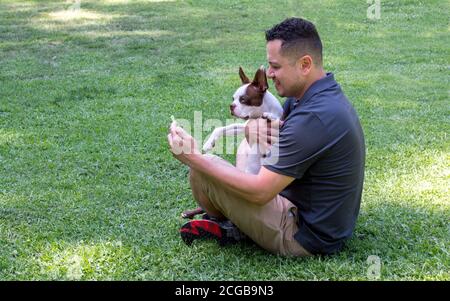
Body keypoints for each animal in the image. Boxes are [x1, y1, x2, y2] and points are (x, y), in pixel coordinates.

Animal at [182, 65, 282, 218]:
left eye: (243, 99)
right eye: (233, 98)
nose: (231, 105)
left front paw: (270, 116)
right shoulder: (245, 127)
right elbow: (222, 128)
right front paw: (209, 142)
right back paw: (190, 213)